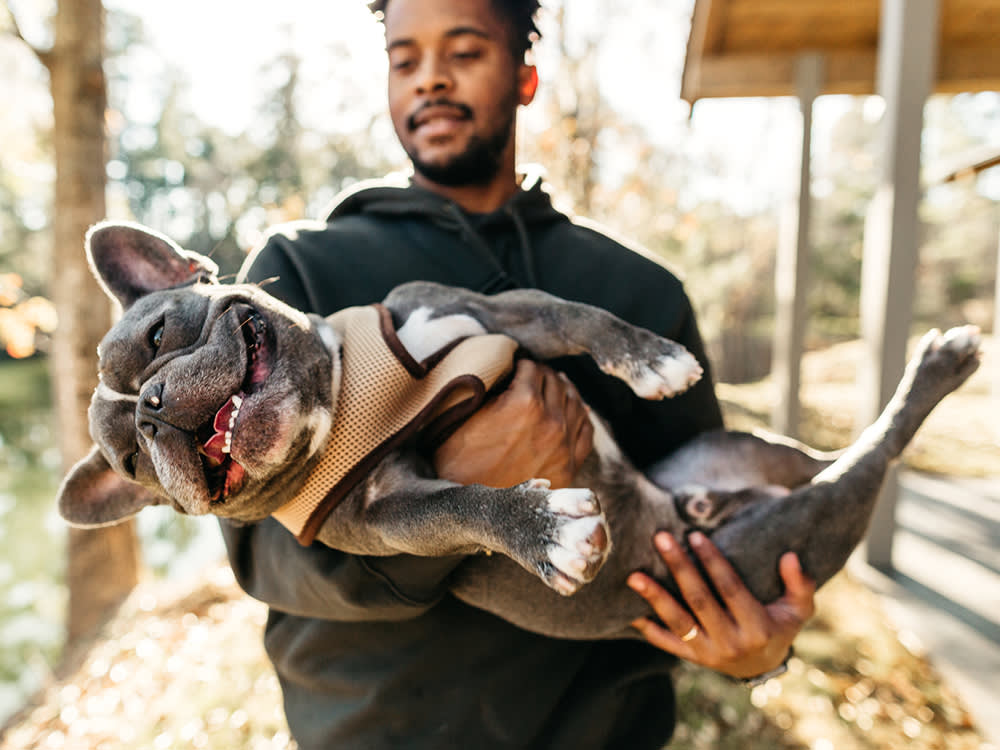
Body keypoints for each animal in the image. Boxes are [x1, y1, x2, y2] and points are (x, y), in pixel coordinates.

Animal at [58, 222, 980, 640]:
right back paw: (938, 370)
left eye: (156, 336)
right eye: (133, 463)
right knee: (864, 459)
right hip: (790, 529)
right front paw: (540, 530)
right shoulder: (385, 520)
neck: (349, 395)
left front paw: (650, 359)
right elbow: (459, 506)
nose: (151, 407)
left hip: (746, 455)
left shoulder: (483, 315)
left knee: (834, 455)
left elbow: (572, 315)